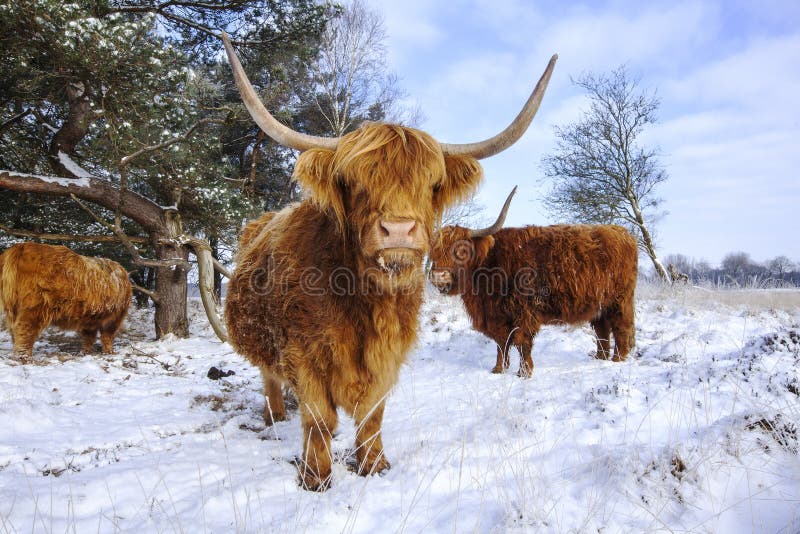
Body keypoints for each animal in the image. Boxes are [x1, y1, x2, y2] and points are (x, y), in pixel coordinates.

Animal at [0, 245, 133, 358]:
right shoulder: (115, 316)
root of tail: (20, 247)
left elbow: (89, 335)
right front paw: (109, 352)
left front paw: (85, 352)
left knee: (14, 330)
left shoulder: (90, 317)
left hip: (12, 308)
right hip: (33, 307)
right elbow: (106, 335)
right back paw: (24, 357)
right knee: (25, 330)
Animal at [219, 34, 556, 494]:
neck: (364, 301)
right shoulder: (304, 355)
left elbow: (372, 414)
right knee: (271, 381)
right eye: (353, 182)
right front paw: (315, 478)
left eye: (432, 183)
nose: (398, 230)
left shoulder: (389, 355)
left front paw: (374, 464)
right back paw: (275, 418)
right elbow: (318, 418)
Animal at [432, 191, 636, 378]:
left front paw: (524, 372)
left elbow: (522, 343)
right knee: (602, 329)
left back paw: (617, 359)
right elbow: (501, 343)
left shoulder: (524, 313)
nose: (438, 276)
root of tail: (622, 232)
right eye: (434, 251)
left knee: (621, 327)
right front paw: (498, 369)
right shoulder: (496, 317)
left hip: (619, 301)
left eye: (462, 250)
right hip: (599, 305)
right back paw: (600, 357)